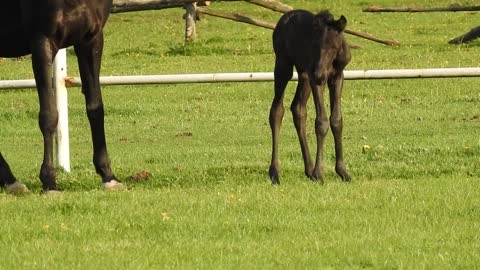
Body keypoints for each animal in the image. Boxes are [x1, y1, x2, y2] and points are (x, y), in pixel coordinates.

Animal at [0, 0, 124, 194]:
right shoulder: (42, 42)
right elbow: (49, 115)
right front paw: (49, 182)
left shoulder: (91, 40)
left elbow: (95, 107)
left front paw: (108, 176)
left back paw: (11, 181)